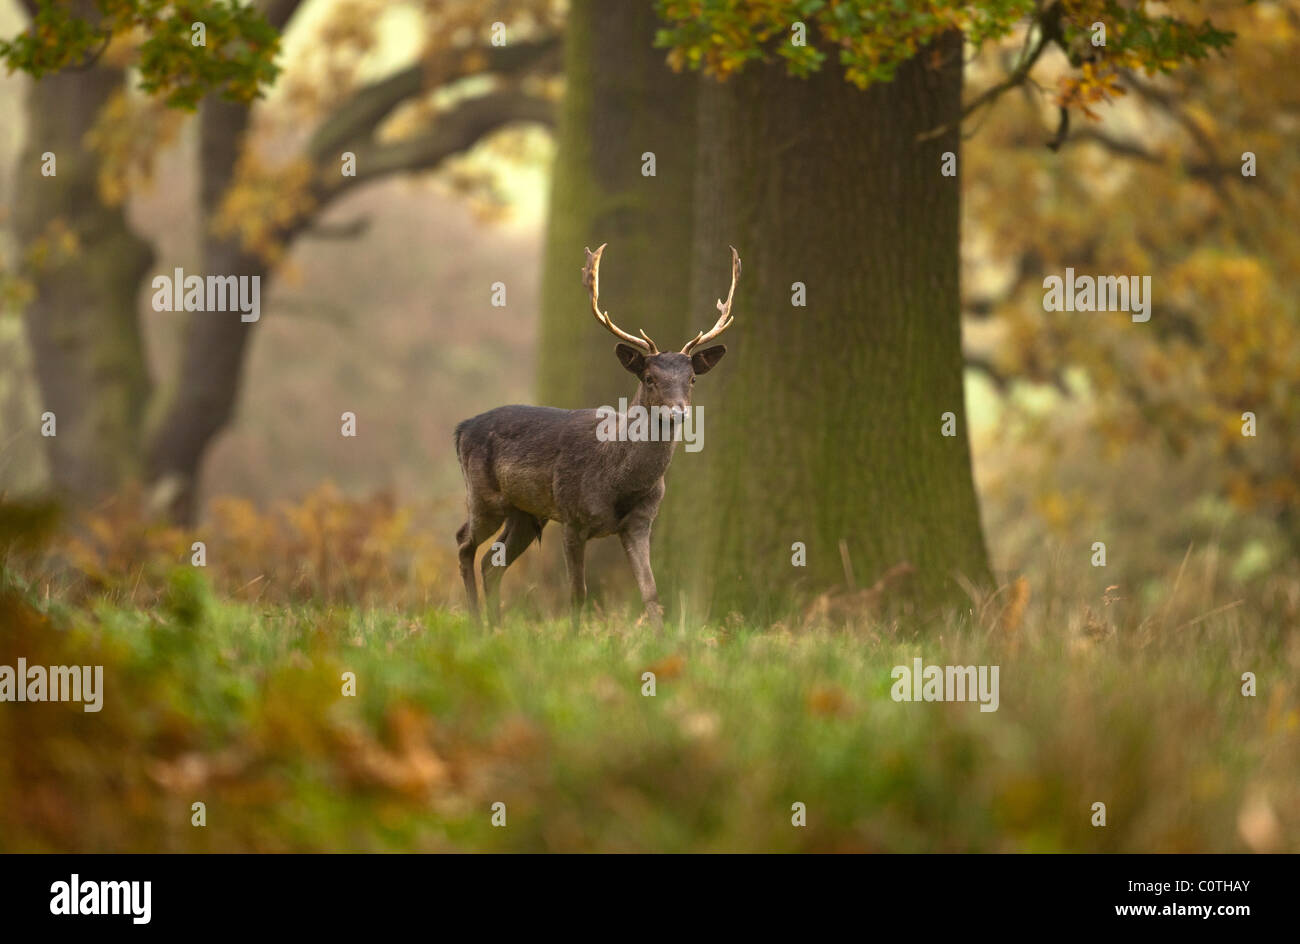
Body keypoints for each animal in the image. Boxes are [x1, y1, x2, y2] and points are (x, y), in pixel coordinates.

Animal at [457, 244, 743, 631]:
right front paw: (574, 638)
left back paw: (496, 627)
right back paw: (476, 624)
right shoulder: (573, 517)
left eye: (692, 379)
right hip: (484, 496)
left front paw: (661, 638)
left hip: (525, 513)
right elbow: (578, 593)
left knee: (490, 562)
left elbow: (651, 593)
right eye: (649, 378)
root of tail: (461, 428)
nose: (678, 413)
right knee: (464, 544)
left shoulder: (640, 522)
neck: (617, 481)